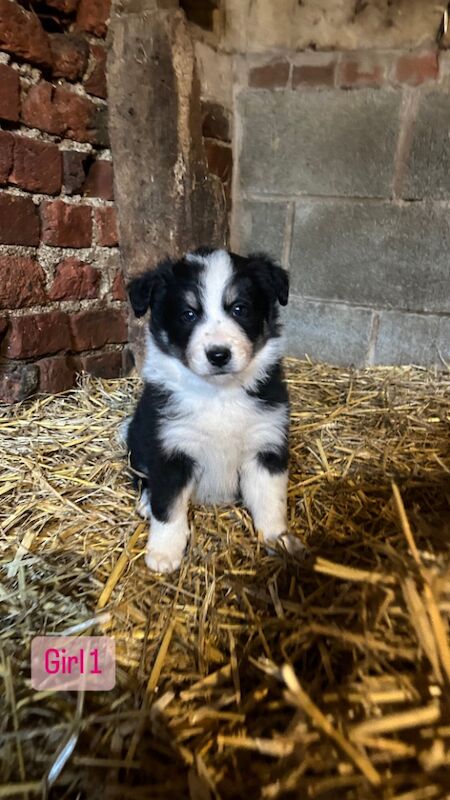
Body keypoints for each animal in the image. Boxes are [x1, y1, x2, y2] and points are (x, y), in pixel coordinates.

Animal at [123, 247, 292, 572]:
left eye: (240, 309)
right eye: (188, 314)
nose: (218, 355)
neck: (219, 394)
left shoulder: (264, 444)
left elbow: (270, 501)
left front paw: (279, 540)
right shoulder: (171, 449)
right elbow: (169, 508)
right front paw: (164, 554)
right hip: (138, 441)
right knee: (144, 480)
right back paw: (146, 504)